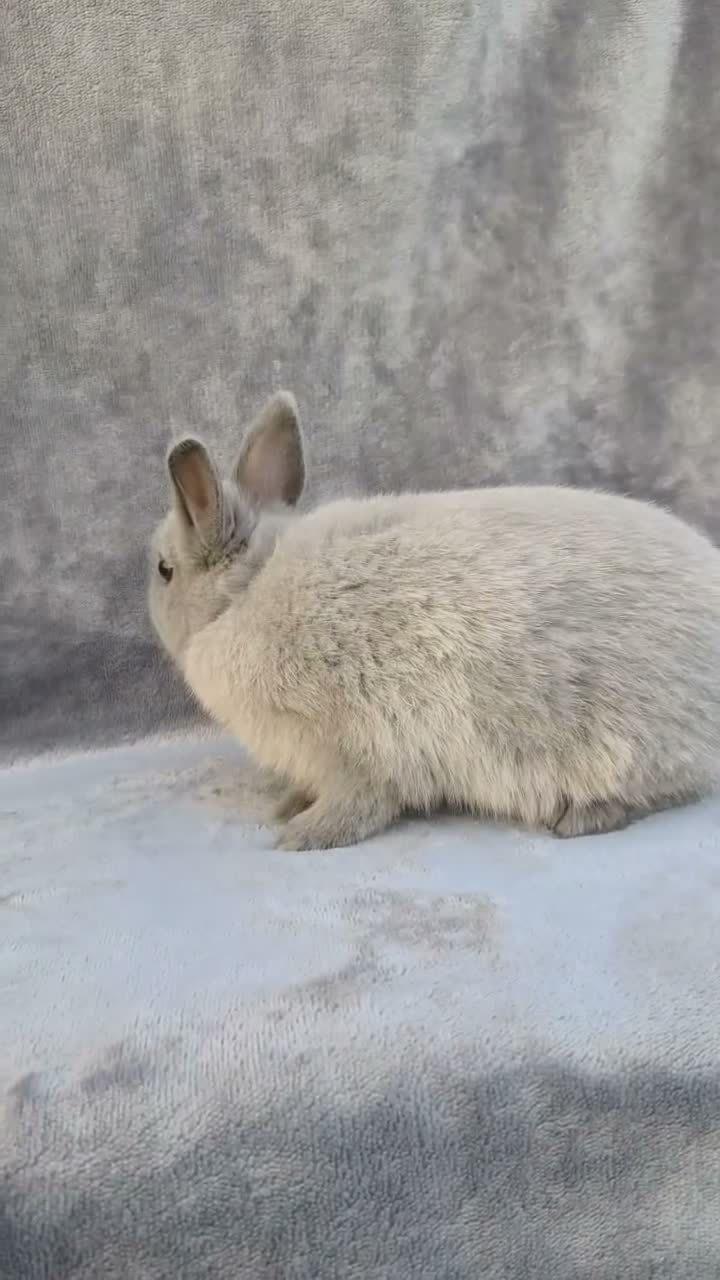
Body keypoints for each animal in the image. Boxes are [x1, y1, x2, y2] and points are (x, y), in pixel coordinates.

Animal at [148, 390, 720, 851]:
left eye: (163, 570)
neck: (245, 590)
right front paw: (289, 805)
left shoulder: (348, 746)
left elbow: (360, 802)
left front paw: (301, 834)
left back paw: (580, 818)